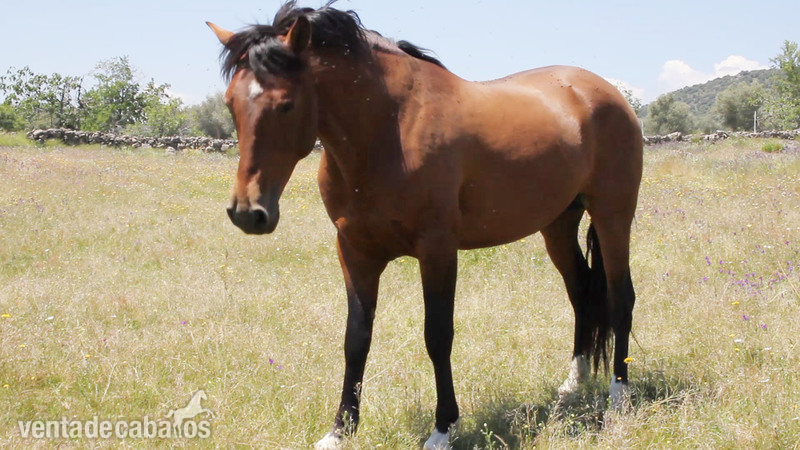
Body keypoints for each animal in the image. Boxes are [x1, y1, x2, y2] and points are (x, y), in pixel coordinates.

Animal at [208, 2, 642, 449]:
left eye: (286, 104)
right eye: (230, 103)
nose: (248, 212)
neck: (390, 129)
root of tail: (603, 92)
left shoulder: (437, 250)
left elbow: (438, 335)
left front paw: (442, 428)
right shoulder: (354, 252)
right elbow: (356, 338)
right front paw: (340, 429)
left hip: (613, 215)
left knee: (620, 296)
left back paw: (619, 397)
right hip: (557, 224)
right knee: (581, 292)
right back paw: (573, 383)